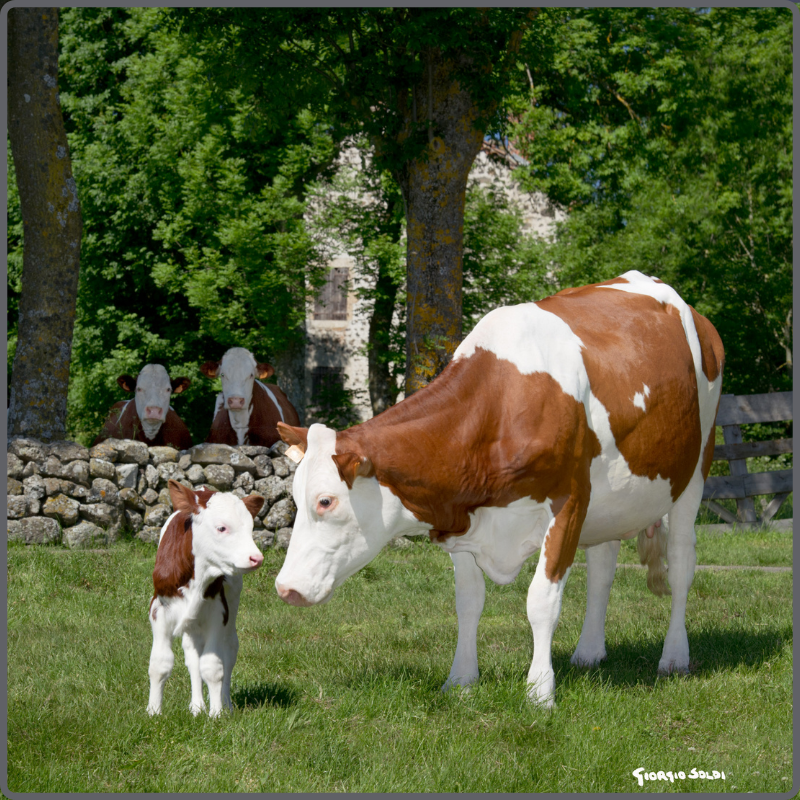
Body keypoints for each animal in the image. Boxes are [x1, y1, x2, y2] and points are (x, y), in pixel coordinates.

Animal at [274, 274, 724, 708]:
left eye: (325, 501)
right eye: (294, 498)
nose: (285, 588)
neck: (499, 407)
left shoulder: (569, 503)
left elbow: (541, 602)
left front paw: (540, 692)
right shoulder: (462, 517)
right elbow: (468, 602)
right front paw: (460, 682)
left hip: (694, 472)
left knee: (681, 563)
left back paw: (674, 657)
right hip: (611, 500)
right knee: (602, 567)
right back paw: (589, 652)